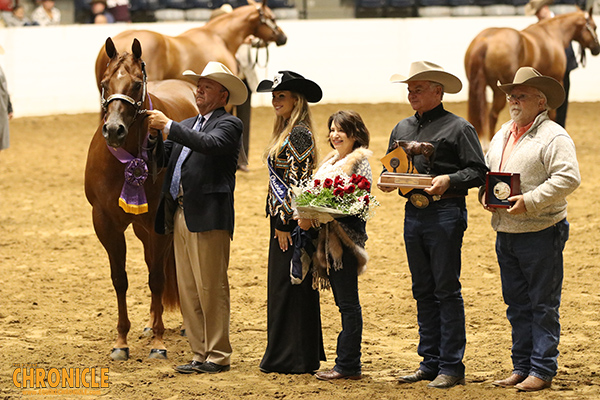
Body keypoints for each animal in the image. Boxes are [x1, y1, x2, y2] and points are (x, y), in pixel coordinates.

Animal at [84, 38, 198, 362]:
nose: (113, 130)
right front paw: (121, 341)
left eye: (136, 84)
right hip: (142, 229)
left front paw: (159, 342)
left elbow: (157, 278)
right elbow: (120, 279)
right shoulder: (106, 224)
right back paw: (149, 324)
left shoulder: (160, 224)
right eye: (104, 83)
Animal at [464, 8, 600, 145]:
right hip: (499, 92)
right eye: (594, 26)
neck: (553, 34)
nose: (596, 49)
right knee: (492, 115)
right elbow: (552, 114)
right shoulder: (558, 80)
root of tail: (485, 40)